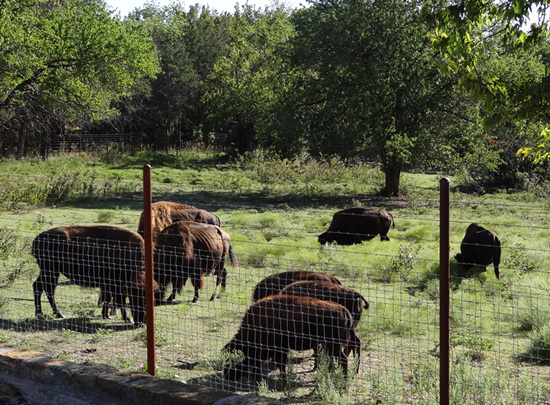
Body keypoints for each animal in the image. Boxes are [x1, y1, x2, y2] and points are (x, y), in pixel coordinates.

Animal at [224, 292, 362, 380]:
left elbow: (281, 365)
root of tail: (343, 310)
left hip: (333, 345)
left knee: (343, 359)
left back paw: (343, 382)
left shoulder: (279, 350)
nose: (227, 376)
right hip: (331, 344)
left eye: (232, 359)